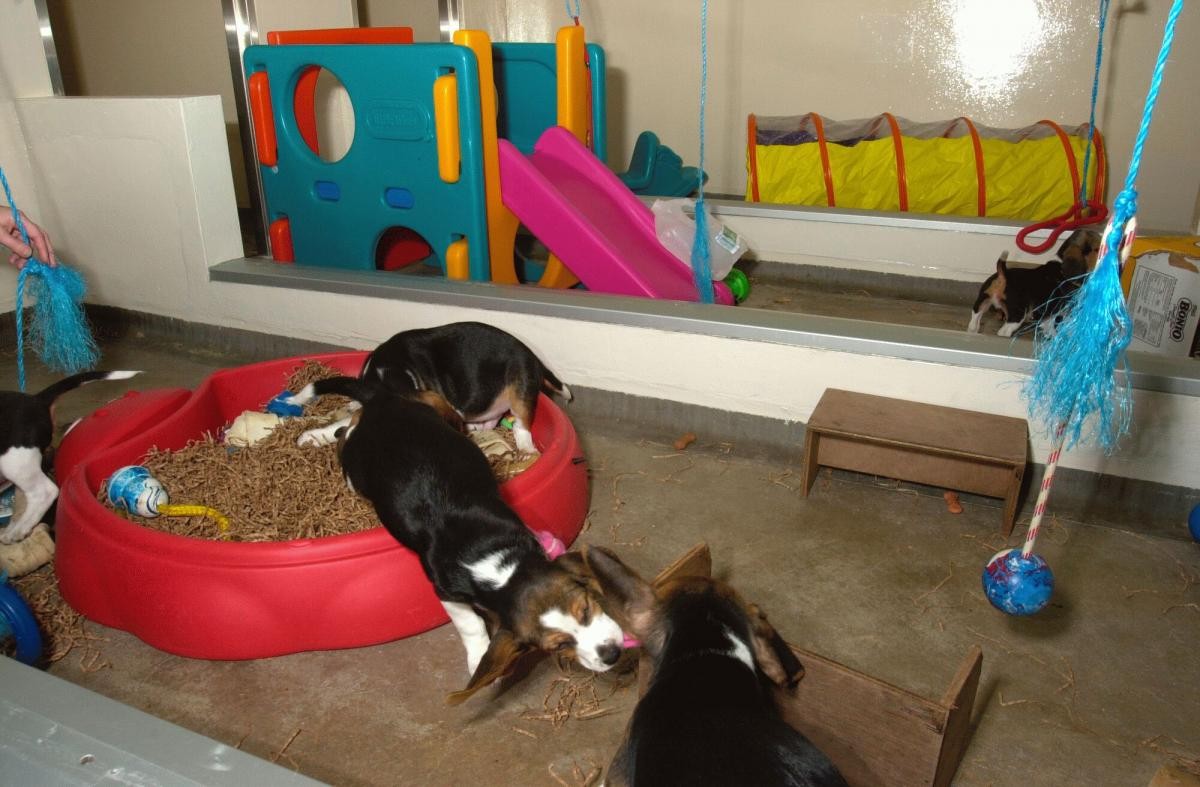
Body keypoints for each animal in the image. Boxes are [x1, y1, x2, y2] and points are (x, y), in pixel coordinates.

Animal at [290, 376, 624, 700]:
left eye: (585, 607)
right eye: (559, 645)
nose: (611, 654)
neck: (493, 561)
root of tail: (382, 404)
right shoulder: (444, 590)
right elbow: (471, 624)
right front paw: (478, 659)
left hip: (435, 402)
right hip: (356, 474)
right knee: (346, 434)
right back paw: (321, 435)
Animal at [969, 227, 1099, 338]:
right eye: (1097, 249)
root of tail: (1004, 274)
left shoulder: (1049, 314)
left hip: (981, 304)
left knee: (974, 323)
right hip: (1017, 315)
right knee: (1003, 332)